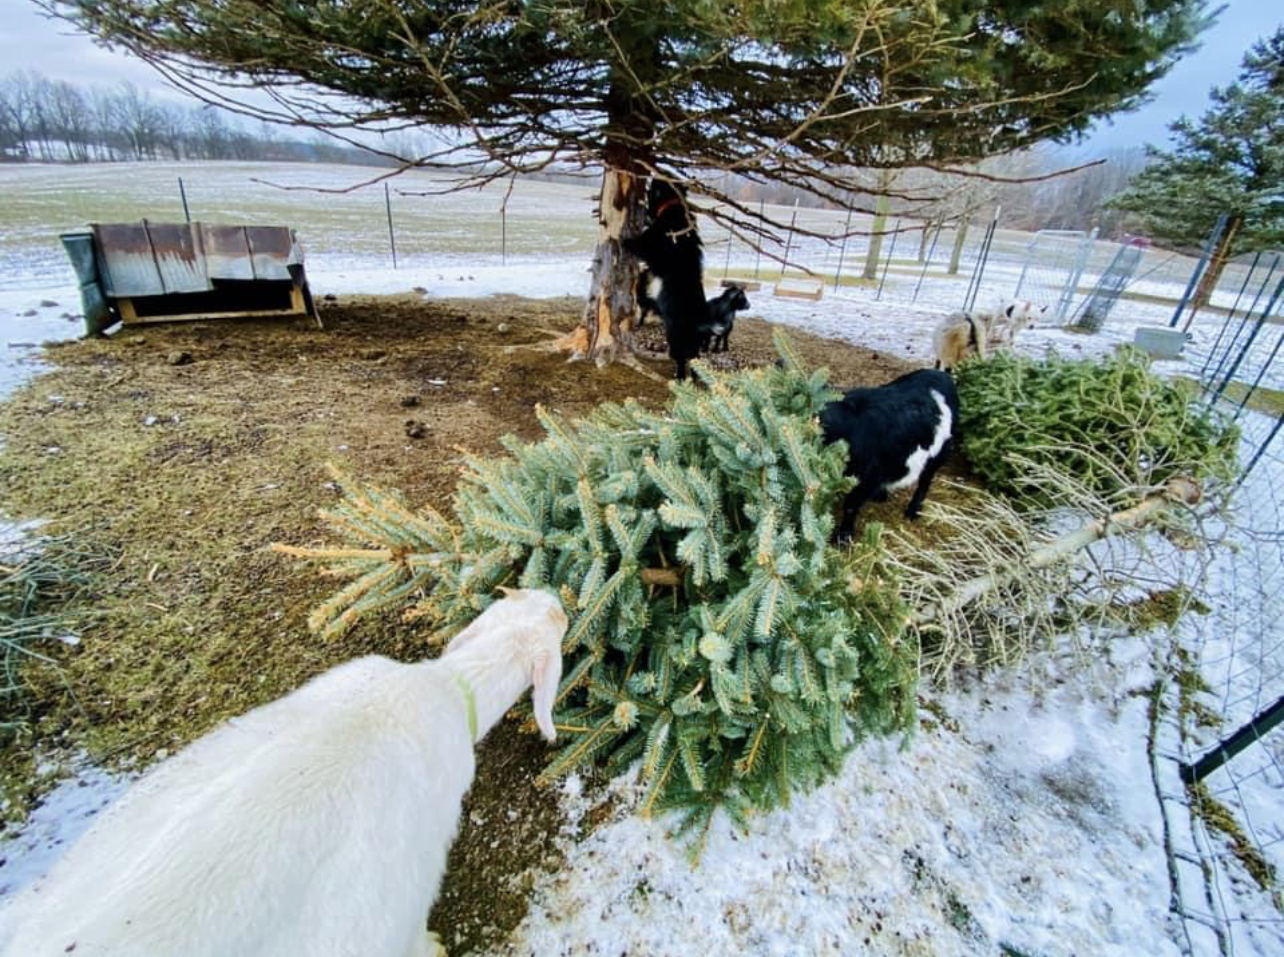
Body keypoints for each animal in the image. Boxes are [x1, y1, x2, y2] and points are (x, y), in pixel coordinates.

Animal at [622, 178, 705, 380]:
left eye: (654, 188)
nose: (652, 177)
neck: (672, 206)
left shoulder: (654, 244)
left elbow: (640, 245)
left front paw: (624, 240)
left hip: (675, 337)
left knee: (682, 358)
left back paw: (680, 377)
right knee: (693, 359)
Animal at [820, 369, 960, 541]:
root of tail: (942, 374)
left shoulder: (869, 477)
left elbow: (851, 505)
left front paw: (843, 538)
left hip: (939, 454)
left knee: (925, 482)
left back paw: (912, 512)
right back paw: (881, 496)